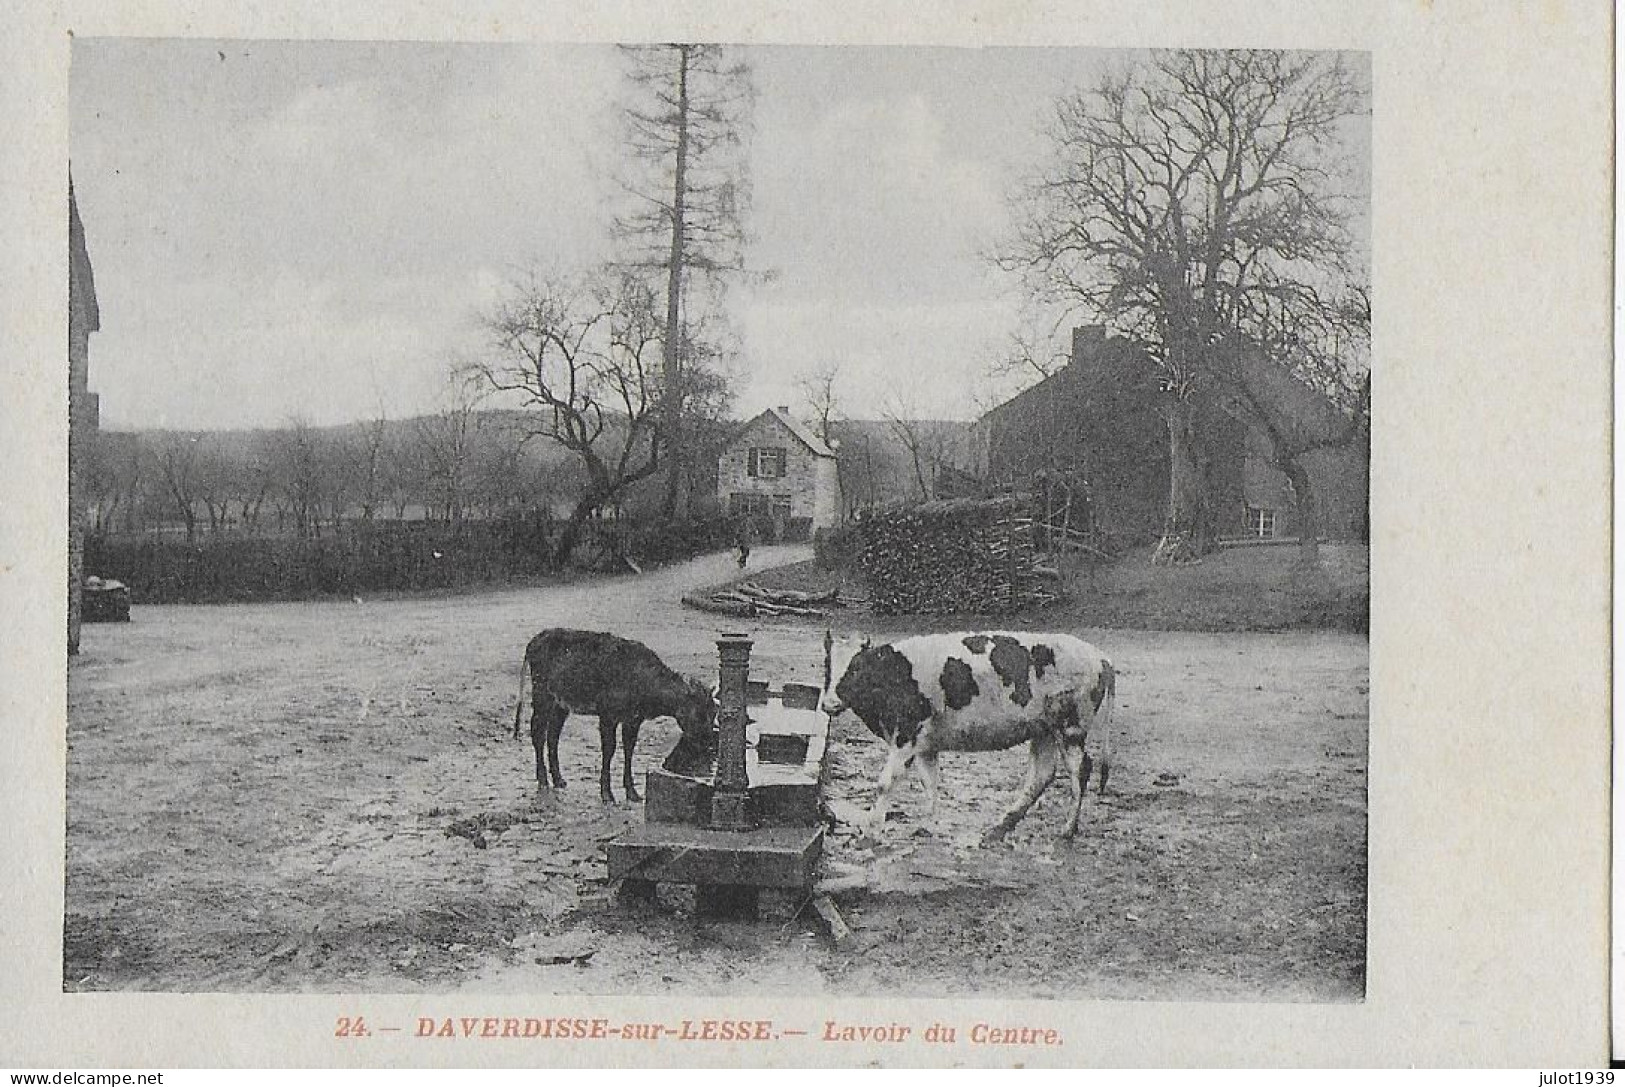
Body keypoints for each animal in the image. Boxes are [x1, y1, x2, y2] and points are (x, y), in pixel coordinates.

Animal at [825, 630, 1118, 844]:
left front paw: (869, 831)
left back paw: (1067, 829)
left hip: (1071, 727)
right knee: (1041, 775)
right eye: (827, 665)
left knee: (1081, 769)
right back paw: (999, 828)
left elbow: (885, 783)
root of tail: (1102, 658)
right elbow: (930, 783)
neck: (895, 674)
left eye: (856, 668)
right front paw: (927, 825)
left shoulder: (907, 736)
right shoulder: (925, 744)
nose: (829, 703)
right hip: (1044, 729)